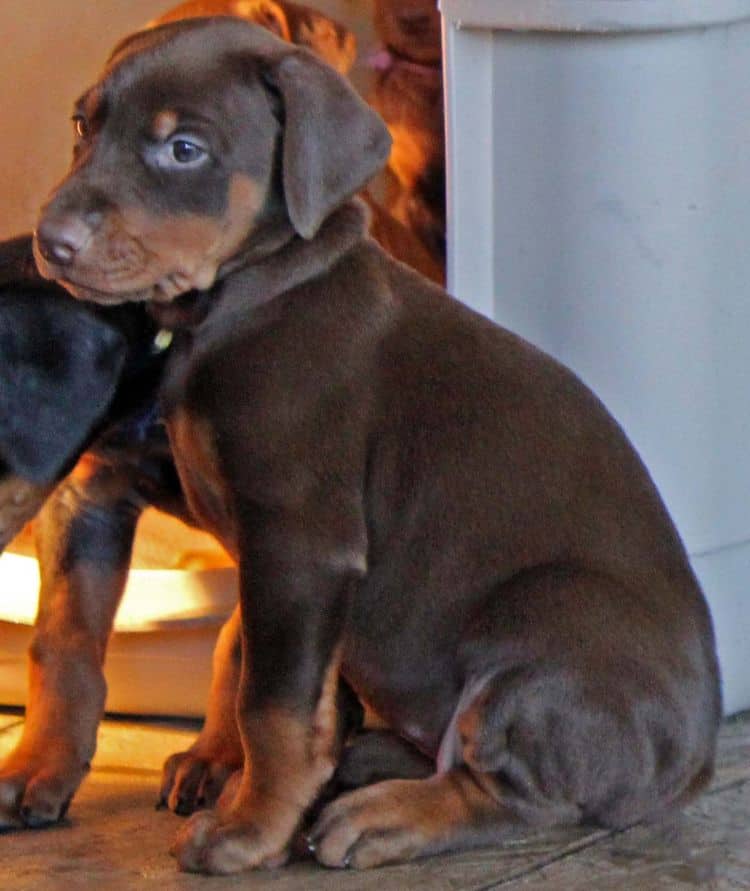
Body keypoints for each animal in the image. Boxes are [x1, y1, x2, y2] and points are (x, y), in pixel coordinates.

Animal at [33, 17, 724, 876]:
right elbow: (277, 686)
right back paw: (367, 762)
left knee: (519, 792)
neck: (256, 291)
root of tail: (695, 761)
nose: (49, 241)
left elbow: (271, 705)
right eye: (80, 125)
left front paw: (247, 830)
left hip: (547, 619)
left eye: (184, 148)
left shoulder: (299, 540)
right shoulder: (273, 558)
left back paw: (383, 815)